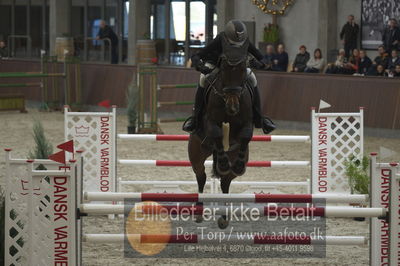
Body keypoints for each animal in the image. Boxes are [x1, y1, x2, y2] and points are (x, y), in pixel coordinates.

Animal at [188, 52, 253, 229]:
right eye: (223, 71)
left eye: (242, 71)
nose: (233, 107)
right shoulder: (210, 122)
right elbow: (216, 132)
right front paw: (222, 162)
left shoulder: (246, 123)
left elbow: (245, 135)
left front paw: (233, 164)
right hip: (196, 155)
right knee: (201, 176)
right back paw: (199, 212)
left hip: (234, 159)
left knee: (225, 182)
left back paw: (224, 216)